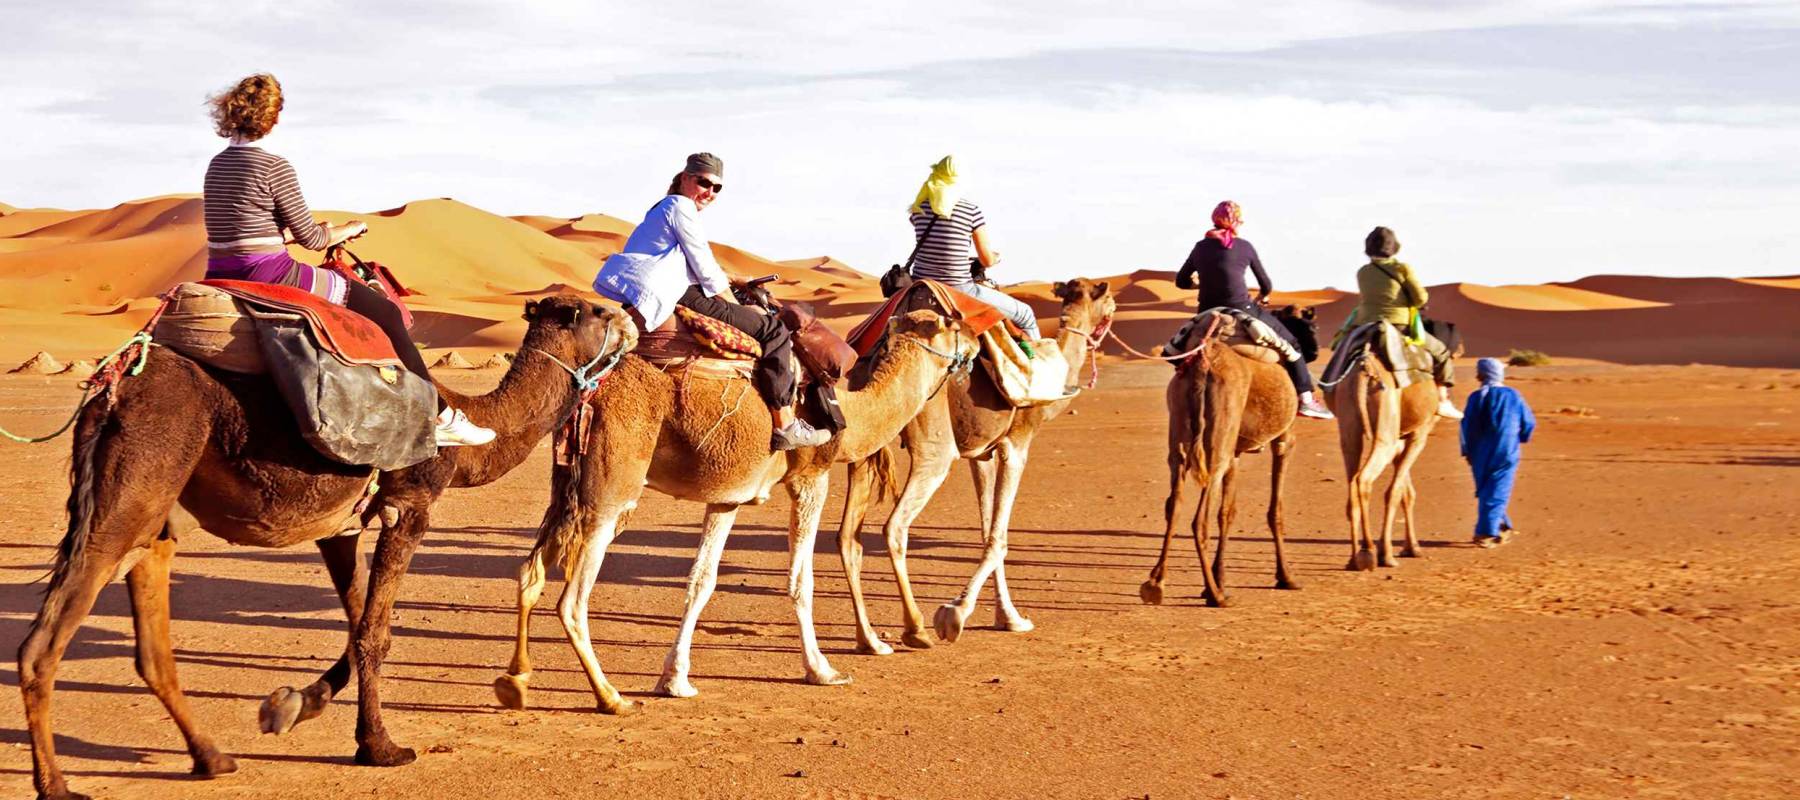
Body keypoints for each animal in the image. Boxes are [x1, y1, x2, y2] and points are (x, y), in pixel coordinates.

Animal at [17, 295, 635, 800]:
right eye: (598, 312)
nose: (633, 322)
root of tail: (112, 386)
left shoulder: (343, 524)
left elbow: (360, 622)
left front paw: (294, 704)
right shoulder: (410, 506)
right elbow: (376, 633)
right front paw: (381, 748)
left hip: (156, 509)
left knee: (151, 640)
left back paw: (212, 758)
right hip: (136, 481)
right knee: (45, 640)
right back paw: (58, 786)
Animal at [492, 309, 970, 711]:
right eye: (952, 325)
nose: (974, 346)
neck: (850, 411)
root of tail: (592, 390)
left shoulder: (728, 496)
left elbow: (701, 581)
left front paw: (675, 680)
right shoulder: (811, 475)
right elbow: (801, 580)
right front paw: (822, 669)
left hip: (567, 486)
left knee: (529, 573)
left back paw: (515, 681)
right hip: (611, 489)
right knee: (572, 600)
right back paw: (610, 697)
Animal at [835, 278, 1117, 654]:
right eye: (1109, 299)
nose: (1113, 312)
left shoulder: (982, 453)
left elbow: (986, 530)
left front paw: (1008, 617)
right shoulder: (1017, 442)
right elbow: (999, 537)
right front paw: (955, 613)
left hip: (866, 440)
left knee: (848, 537)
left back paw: (869, 640)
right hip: (934, 445)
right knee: (895, 526)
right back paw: (915, 629)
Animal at [1138, 307, 1322, 607]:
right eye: (1311, 327)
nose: (1316, 351)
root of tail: (1204, 361)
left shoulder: (1235, 451)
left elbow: (1227, 512)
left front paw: (1220, 578)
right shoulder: (1284, 439)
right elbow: (1275, 510)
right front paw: (1286, 577)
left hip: (1183, 429)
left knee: (1174, 503)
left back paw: (1156, 584)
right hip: (1218, 437)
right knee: (1199, 519)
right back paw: (1216, 597)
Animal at [1326, 322, 1459, 570]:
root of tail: (1365, 366)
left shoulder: (1400, 439)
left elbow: (1407, 492)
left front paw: (1412, 547)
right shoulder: (1418, 434)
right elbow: (1396, 491)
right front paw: (1388, 553)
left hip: (1349, 424)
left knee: (1351, 481)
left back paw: (1353, 558)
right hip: (1385, 428)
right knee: (1363, 479)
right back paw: (1369, 552)